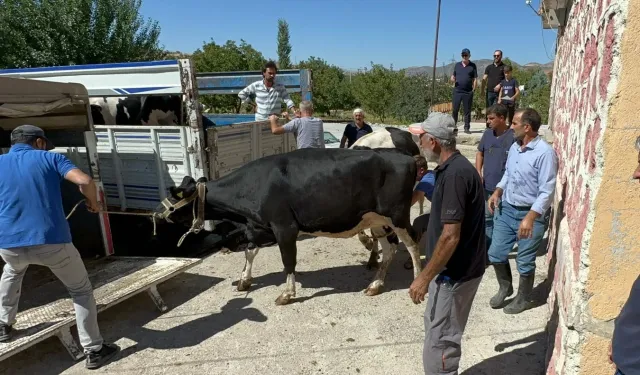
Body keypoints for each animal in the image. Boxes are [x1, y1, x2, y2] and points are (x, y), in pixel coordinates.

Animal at [154, 147, 424, 306]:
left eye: (175, 199)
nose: (156, 214)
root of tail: (405, 156)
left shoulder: (284, 226)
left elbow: (288, 261)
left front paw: (287, 294)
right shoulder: (260, 227)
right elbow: (250, 251)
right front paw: (244, 281)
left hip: (398, 215)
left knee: (412, 242)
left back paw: (416, 282)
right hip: (377, 220)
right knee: (390, 249)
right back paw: (375, 285)